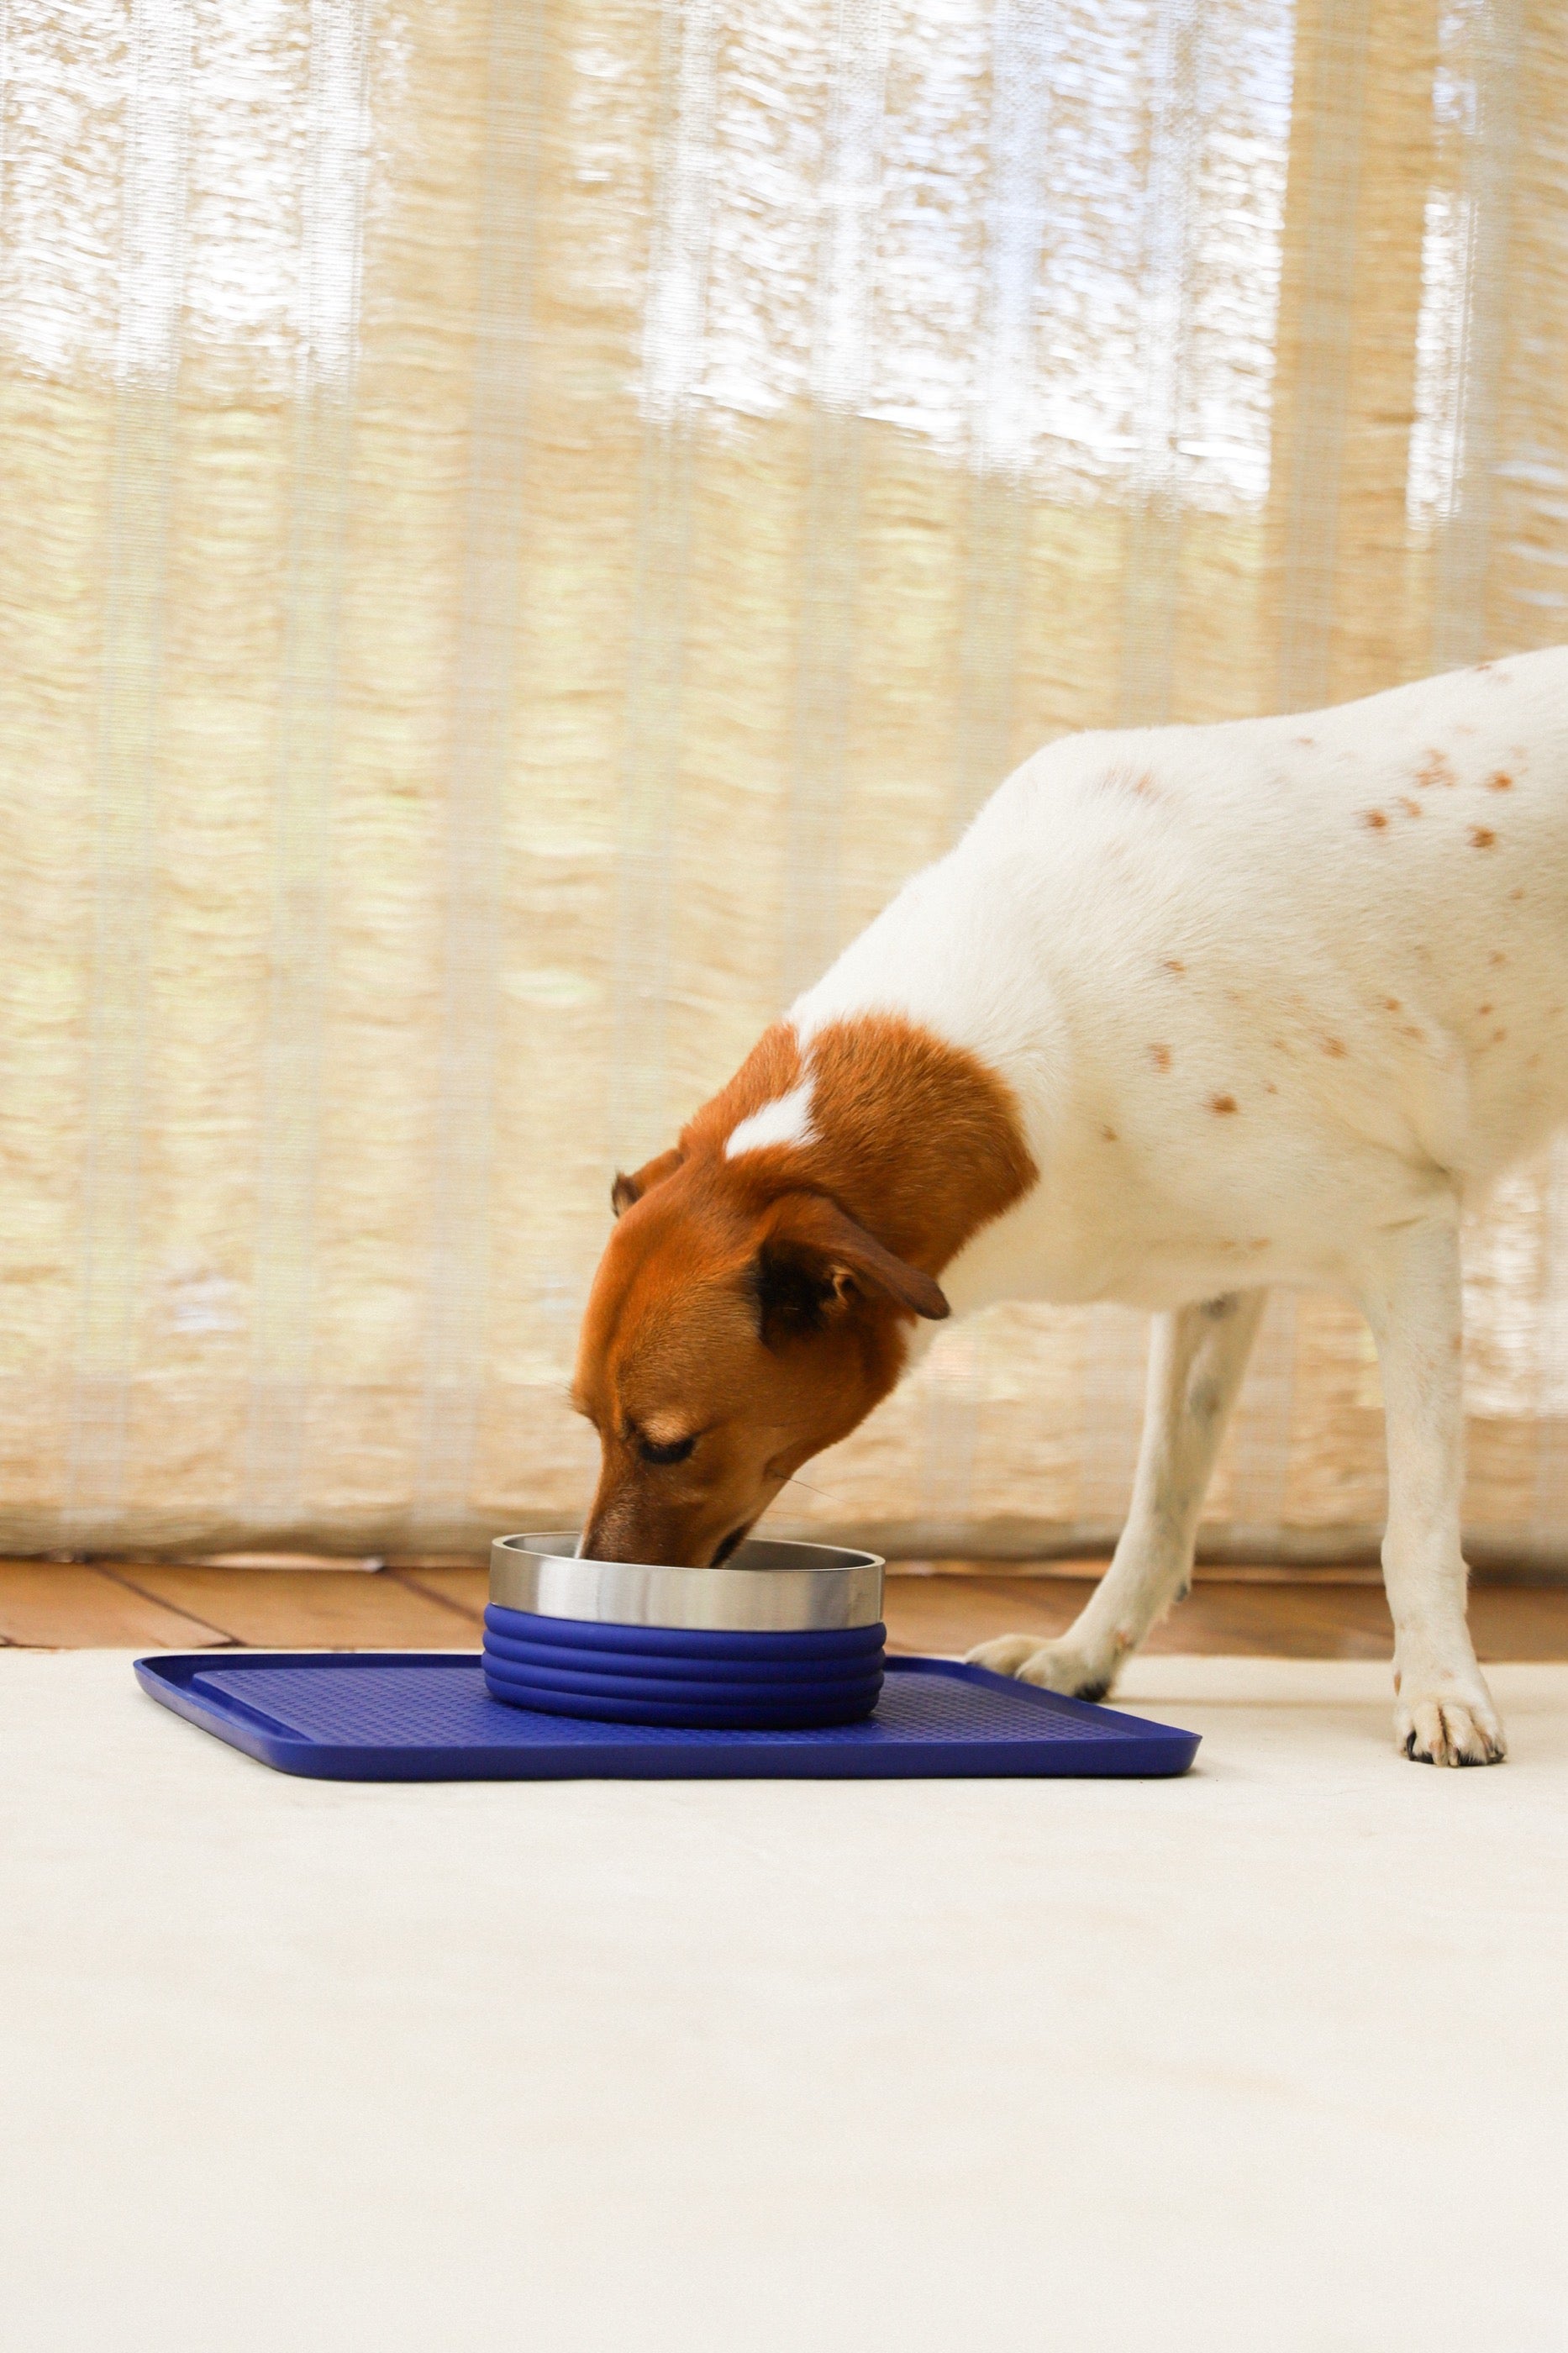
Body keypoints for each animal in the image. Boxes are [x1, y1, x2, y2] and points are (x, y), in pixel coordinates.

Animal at [571, 649, 1563, 1769]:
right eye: (589, 1424)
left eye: (667, 1445)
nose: (599, 1596)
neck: (1053, 1019)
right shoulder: (1218, 1289)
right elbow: (1159, 1507)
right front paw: (1085, 1658)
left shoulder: (1408, 1241)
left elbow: (1420, 1521)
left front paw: (1442, 1687)